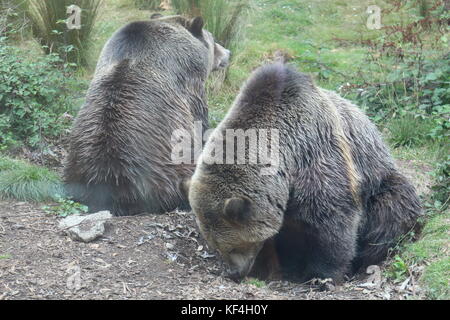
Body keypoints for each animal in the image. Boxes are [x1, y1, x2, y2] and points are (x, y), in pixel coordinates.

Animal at [185, 62, 422, 282]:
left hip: (380, 179)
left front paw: (323, 275)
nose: (234, 272)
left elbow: (333, 218)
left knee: (391, 209)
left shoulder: (317, 153)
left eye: (234, 246)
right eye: (218, 246)